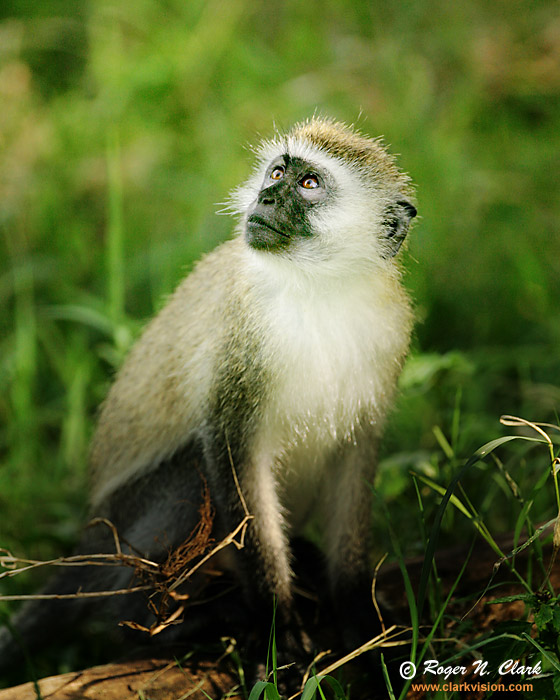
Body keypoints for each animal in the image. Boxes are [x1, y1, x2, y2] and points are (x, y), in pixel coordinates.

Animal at [0, 117, 414, 668]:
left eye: (308, 183)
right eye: (277, 171)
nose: (265, 196)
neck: (320, 289)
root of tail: (90, 539)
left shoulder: (388, 334)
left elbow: (354, 462)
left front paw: (357, 611)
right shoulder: (243, 344)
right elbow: (232, 456)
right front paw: (279, 623)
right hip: (127, 530)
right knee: (192, 471)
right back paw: (159, 624)